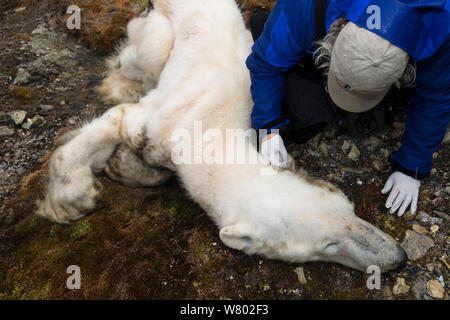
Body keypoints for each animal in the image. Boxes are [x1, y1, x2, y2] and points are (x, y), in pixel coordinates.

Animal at [37, 1, 406, 274]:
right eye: (328, 245)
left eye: (349, 208)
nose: (398, 257)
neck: (210, 130)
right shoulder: (164, 117)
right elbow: (122, 121)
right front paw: (69, 199)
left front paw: (122, 166)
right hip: (160, 29)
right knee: (143, 52)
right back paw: (123, 83)